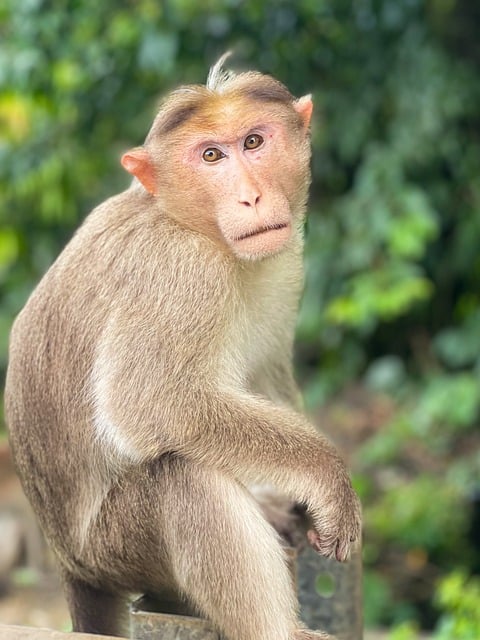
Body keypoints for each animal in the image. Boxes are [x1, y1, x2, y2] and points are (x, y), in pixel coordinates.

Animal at [4, 53, 361, 640]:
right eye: (211, 155)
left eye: (254, 142)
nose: (251, 195)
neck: (193, 222)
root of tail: (69, 561)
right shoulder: (182, 273)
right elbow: (150, 401)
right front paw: (326, 476)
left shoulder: (285, 260)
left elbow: (265, 374)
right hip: (117, 547)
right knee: (182, 476)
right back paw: (277, 629)